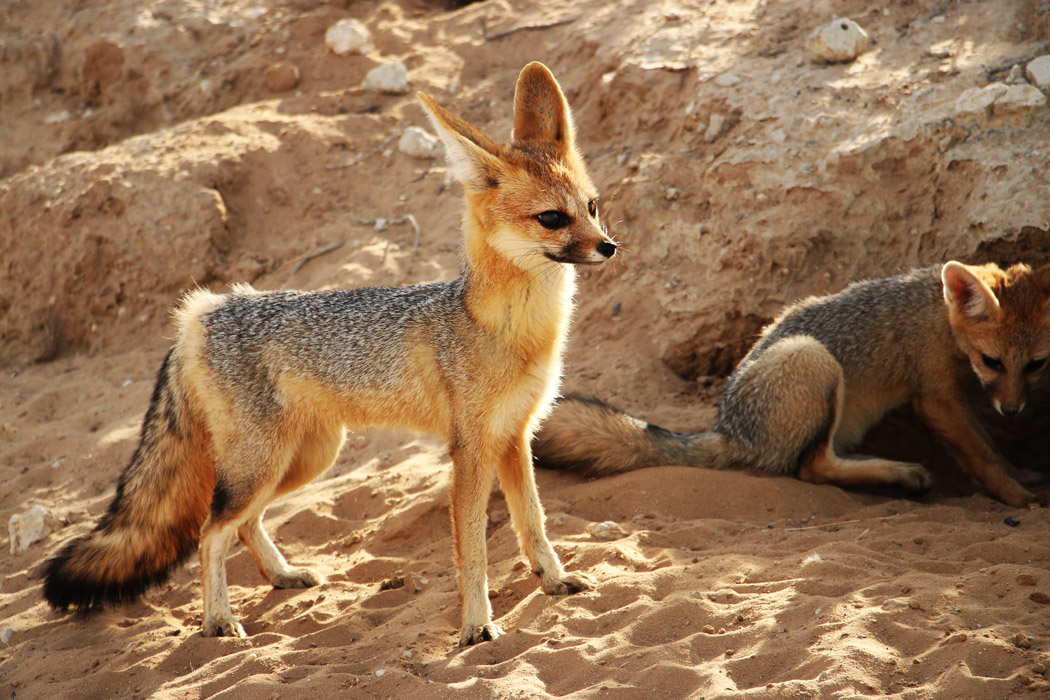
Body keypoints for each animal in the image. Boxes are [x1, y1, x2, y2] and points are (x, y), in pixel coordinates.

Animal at [43, 62, 613, 642]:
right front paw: (476, 626)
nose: (609, 246)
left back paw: (282, 576)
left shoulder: (515, 437)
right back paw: (219, 621)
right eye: (552, 219)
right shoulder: (471, 450)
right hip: (264, 465)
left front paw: (554, 581)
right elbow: (472, 551)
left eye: (591, 208)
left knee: (243, 525)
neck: (507, 329)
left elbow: (533, 523)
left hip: (304, 460)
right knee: (210, 532)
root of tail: (202, 310)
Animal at [533, 262, 1050, 510]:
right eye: (992, 361)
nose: (1013, 412)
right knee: (811, 468)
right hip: (814, 359)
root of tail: (728, 428)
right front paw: (1019, 499)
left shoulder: (960, 399)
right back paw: (899, 474)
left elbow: (989, 447)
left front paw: (1022, 475)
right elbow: (982, 457)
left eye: (1036, 365)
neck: (939, 311)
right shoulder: (936, 398)